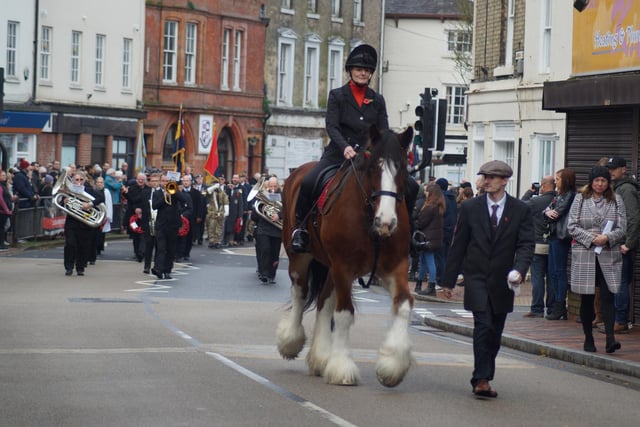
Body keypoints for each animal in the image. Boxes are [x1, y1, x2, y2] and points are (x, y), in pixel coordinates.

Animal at [276, 126, 416, 388]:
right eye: (373, 168)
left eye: (402, 167)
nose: (386, 222)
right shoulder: (344, 266)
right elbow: (344, 314)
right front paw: (342, 366)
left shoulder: (396, 266)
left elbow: (403, 304)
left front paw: (392, 365)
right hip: (301, 258)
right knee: (300, 293)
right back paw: (290, 341)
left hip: (332, 268)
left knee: (323, 301)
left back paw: (320, 357)